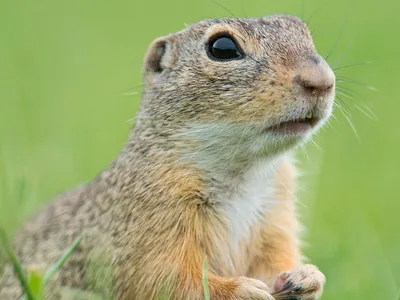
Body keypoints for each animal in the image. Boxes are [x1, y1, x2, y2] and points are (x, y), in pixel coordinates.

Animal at [0, 12, 334, 298]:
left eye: (303, 31)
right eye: (222, 48)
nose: (322, 81)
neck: (242, 173)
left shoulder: (276, 218)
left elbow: (278, 259)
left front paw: (307, 277)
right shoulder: (151, 218)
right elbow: (170, 279)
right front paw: (242, 290)